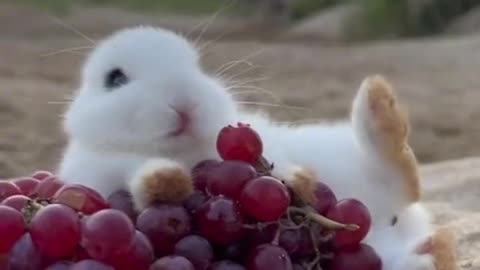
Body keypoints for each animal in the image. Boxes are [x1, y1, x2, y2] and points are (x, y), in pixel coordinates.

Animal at [58, 25, 456, 270]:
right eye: (115, 79)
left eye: (197, 67)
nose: (184, 103)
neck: (187, 150)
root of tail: (404, 226)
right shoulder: (103, 175)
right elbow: (144, 181)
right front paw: (167, 180)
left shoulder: (262, 148)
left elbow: (283, 169)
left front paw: (300, 184)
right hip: (376, 250)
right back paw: (433, 250)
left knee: (401, 176)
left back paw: (379, 103)